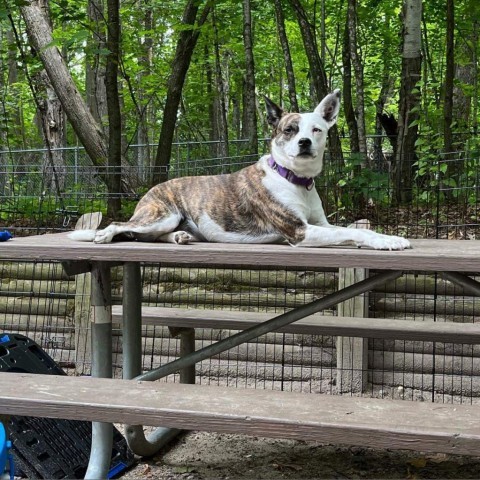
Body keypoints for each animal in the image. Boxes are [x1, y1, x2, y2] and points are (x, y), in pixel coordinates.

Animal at [69, 89, 410, 251]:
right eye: (289, 129)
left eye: (317, 129)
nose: (303, 142)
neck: (294, 179)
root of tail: (152, 190)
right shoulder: (300, 231)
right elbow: (351, 232)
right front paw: (389, 240)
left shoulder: (319, 224)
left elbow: (353, 229)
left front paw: (386, 236)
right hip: (160, 215)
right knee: (119, 225)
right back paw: (101, 236)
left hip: (166, 222)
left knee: (149, 237)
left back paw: (179, 237)